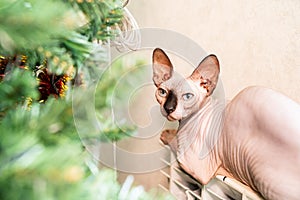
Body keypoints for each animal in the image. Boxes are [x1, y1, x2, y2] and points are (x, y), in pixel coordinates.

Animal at [152, 47, 300, 199]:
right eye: (162, 92)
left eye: (187, 96)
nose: (168, 108)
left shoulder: (195, 166)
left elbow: (175, 143)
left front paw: (167, 134)